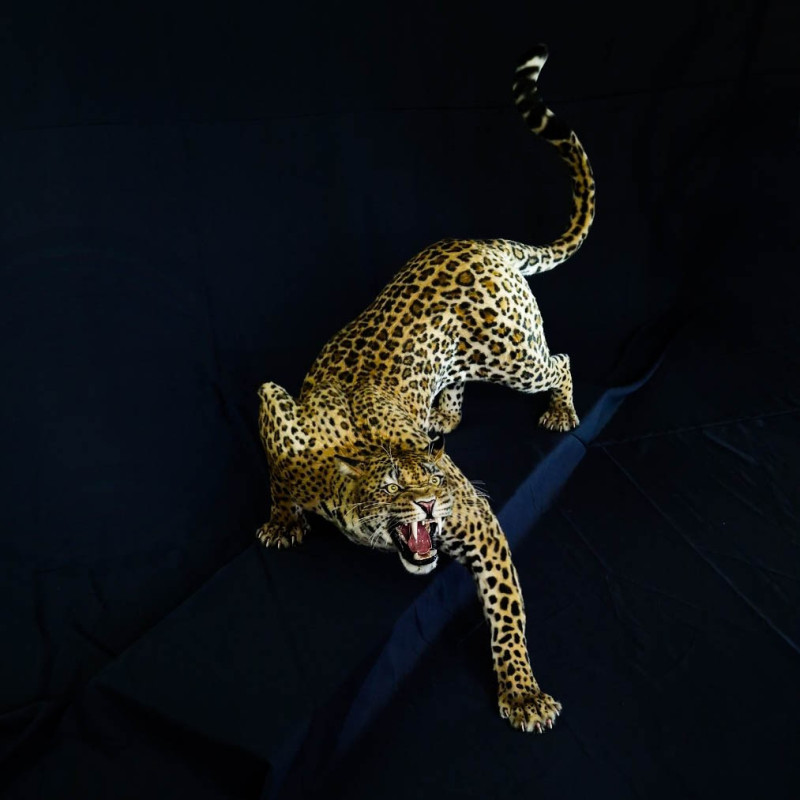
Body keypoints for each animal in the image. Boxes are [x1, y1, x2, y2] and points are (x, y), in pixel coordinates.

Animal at [256, 44, 595, 734]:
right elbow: (278, 476)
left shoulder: (479, 519)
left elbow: (506, 614)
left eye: (439, 482)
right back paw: (444, 411)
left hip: (514, 357)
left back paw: (560, 411)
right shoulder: (276, 407)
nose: (432, 507)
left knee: (562, 360)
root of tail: (484, 241)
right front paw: (280, 521)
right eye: (392, 486)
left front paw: (522, 692)